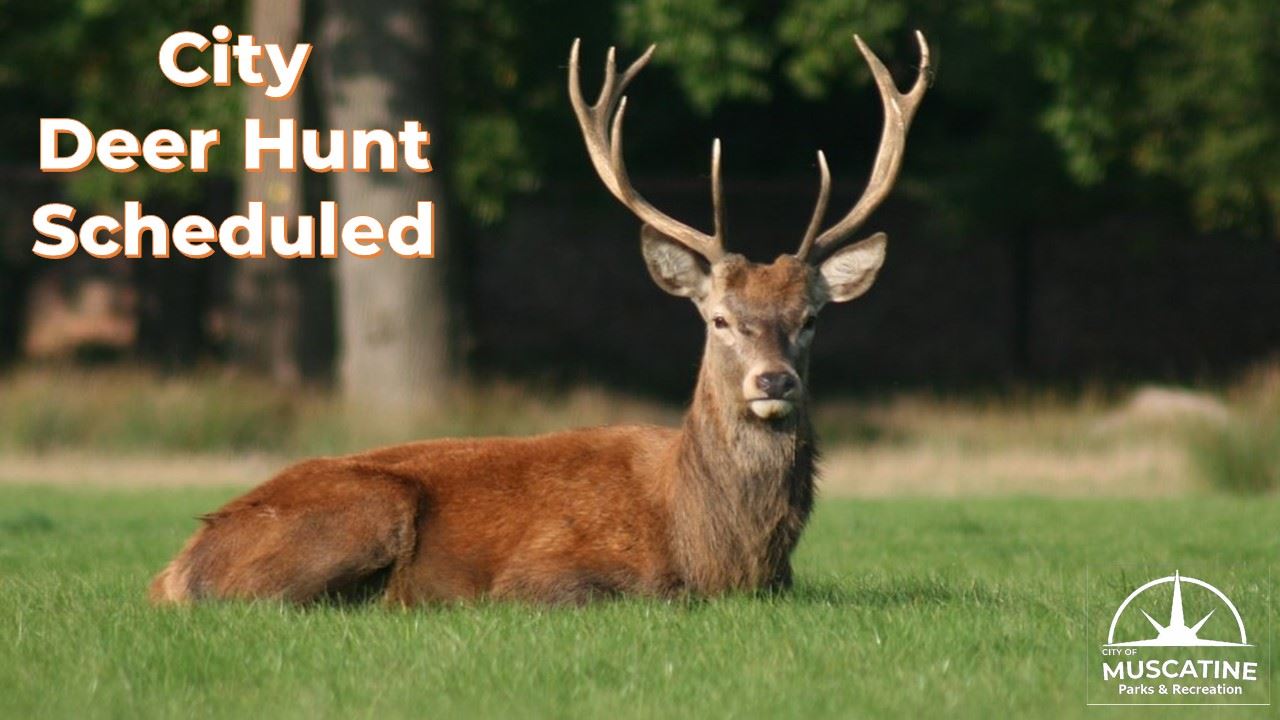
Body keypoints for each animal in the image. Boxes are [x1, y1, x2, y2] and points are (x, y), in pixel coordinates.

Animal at [150, 32, 931, 606]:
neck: (718, 552)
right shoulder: (545, 574)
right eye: (718, 318)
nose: (773, 382)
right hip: (365, 507)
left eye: (811, 318)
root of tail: (173, 569)